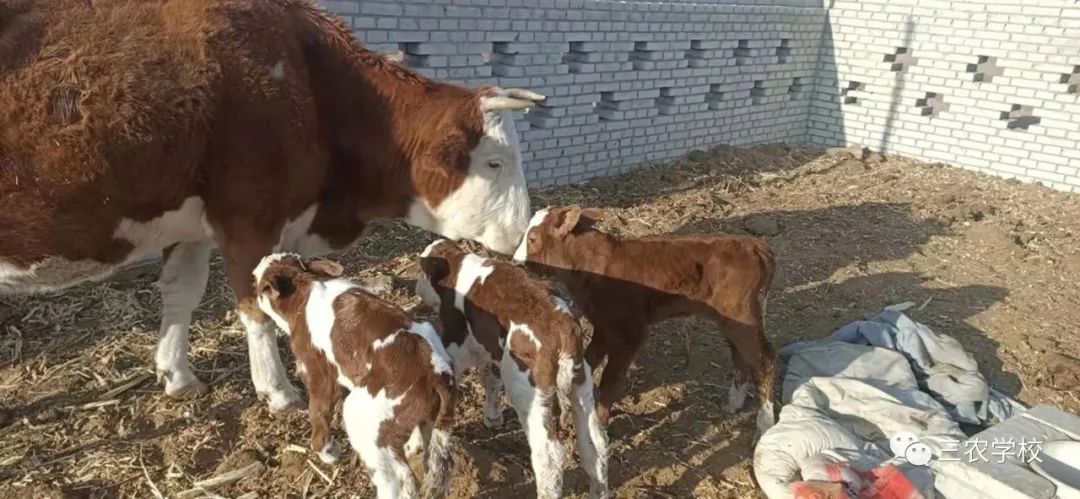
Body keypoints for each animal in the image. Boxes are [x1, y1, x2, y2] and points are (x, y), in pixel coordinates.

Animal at [0, 0, 540, 410]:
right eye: (495, 162)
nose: (520, 232)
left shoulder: (195, 223)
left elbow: (181, 292)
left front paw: (177, 376)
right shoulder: (249, 219)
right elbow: (254, 307)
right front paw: (278, 391)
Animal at [252, 253, 455, 499]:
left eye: (258, 285)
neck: (305, 288)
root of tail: (435, 373)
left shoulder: (319, 373)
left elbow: (317, 411)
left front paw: (326, 452)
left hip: (363, 420)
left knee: (400, 482)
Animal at [416, 239, 613, 496]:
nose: (417, 287)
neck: (460, 271)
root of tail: (563, 328)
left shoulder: (456, 345)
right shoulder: (490, 349)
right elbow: (489, 378)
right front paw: (492, 417)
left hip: (528, 393)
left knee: (549, 456)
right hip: (582, 385)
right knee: (595, 444)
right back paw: (598, 491)